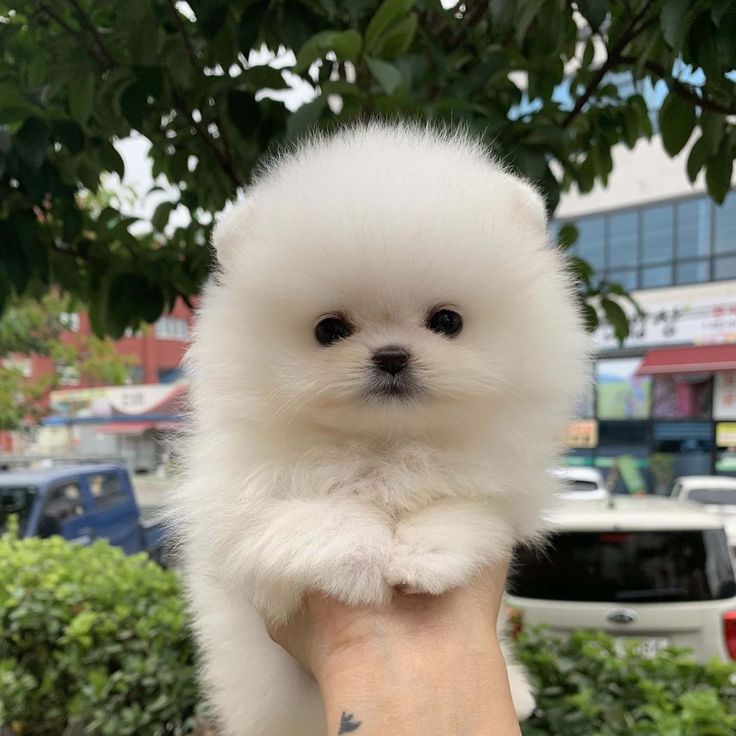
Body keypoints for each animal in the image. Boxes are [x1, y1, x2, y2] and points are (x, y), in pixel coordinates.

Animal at [172, 123, 588, 732]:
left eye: (446, 321)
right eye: (329, 330)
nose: (392, 355)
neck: (384, 445)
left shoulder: (500, 482)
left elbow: (463, 505)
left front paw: (424, 553)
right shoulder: (237, 502)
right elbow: (310, 513)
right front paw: (361, 558)